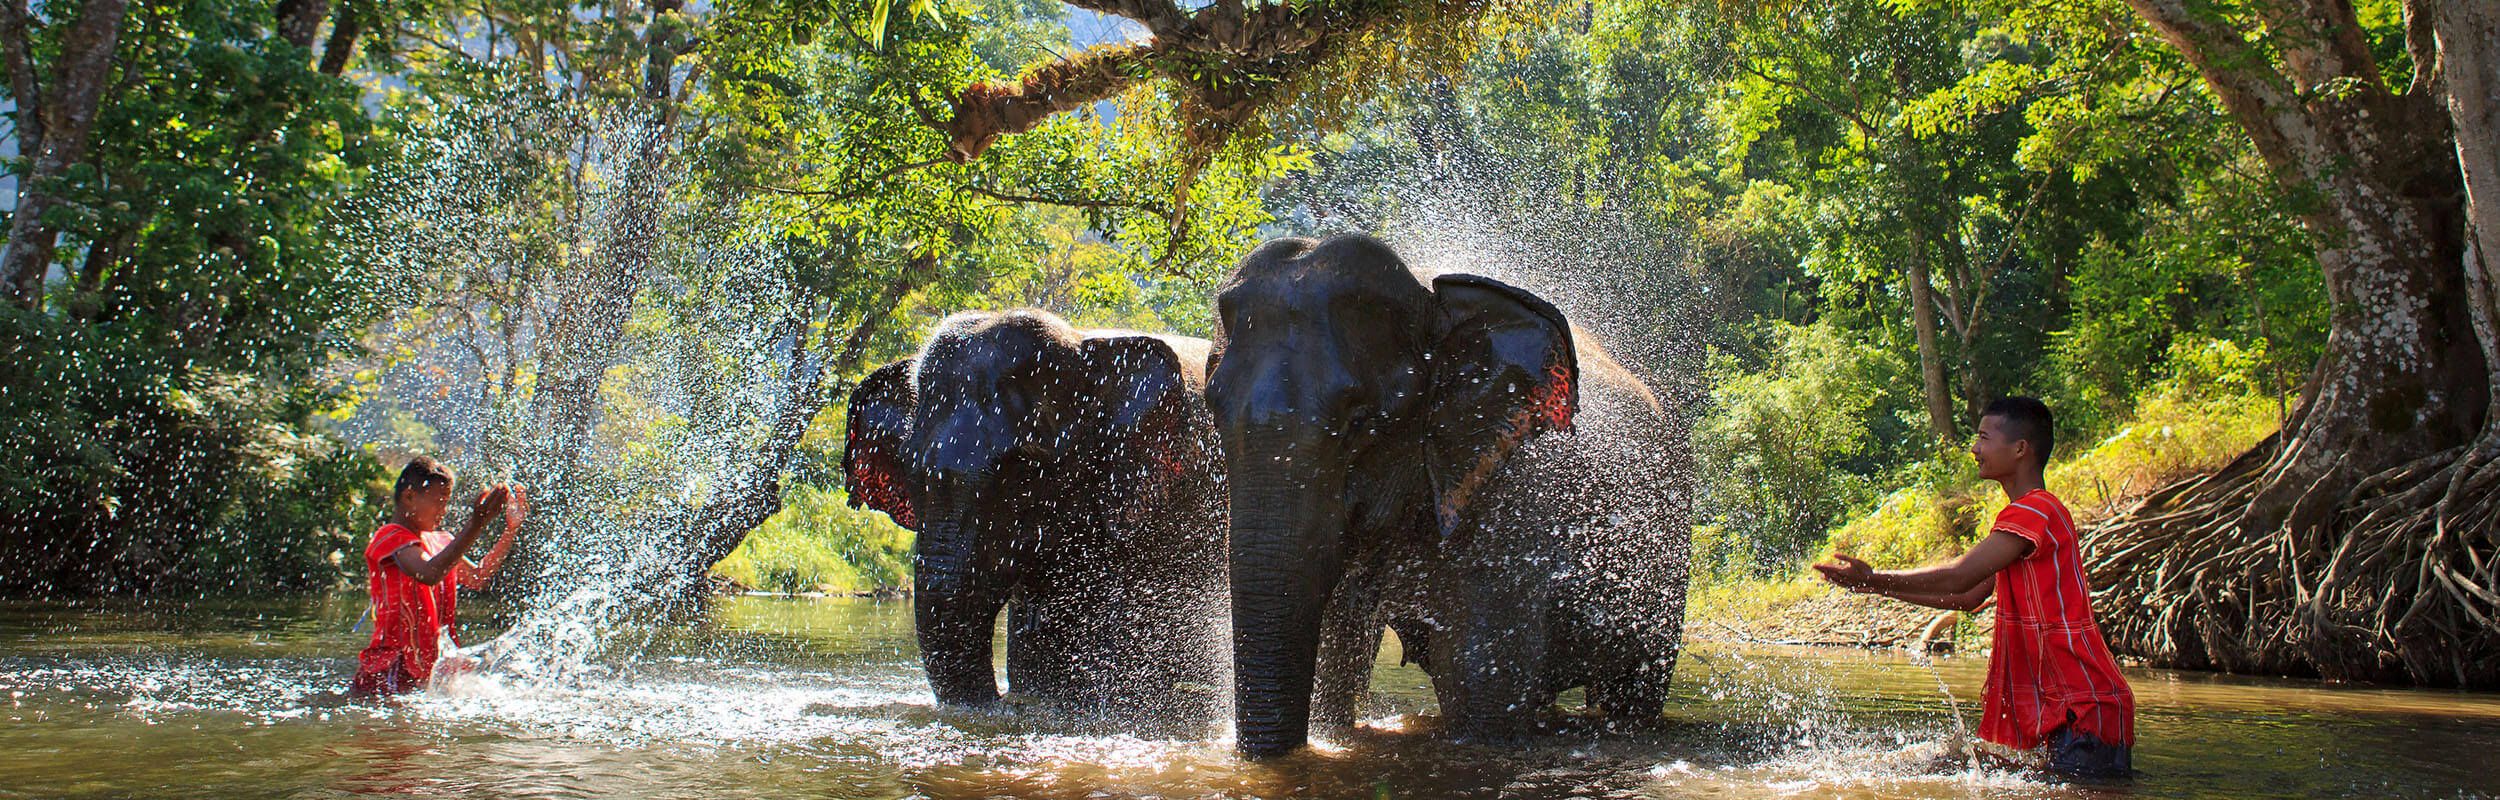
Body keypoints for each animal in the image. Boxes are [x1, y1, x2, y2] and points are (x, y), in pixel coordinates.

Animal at [1205, 234, 1690, 758]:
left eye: (1360, 423)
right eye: (1212, 408)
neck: (1432, 301)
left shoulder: (1506, 515)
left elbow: (1480, 694)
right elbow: (1335, 657)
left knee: (1636, 690)